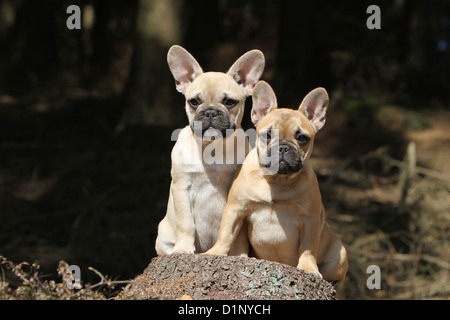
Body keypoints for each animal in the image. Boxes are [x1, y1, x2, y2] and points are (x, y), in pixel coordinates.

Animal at [156, 45, 266, 255]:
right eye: (194, 102)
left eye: (230, 102)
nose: (210, 112)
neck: (213, 147)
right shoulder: (181, 187)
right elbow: (186, 223)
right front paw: (183, 249)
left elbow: (236, 231)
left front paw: (238, 254)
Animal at [206, 80, 350, 282]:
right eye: (267, 135)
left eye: (302, 138)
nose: (282, 148)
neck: (277, 180)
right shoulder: (236, 209)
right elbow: (226, 234)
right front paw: (215, 252)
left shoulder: (311, 219)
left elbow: (308, 248)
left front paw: (308, 268)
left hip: (339, 256)